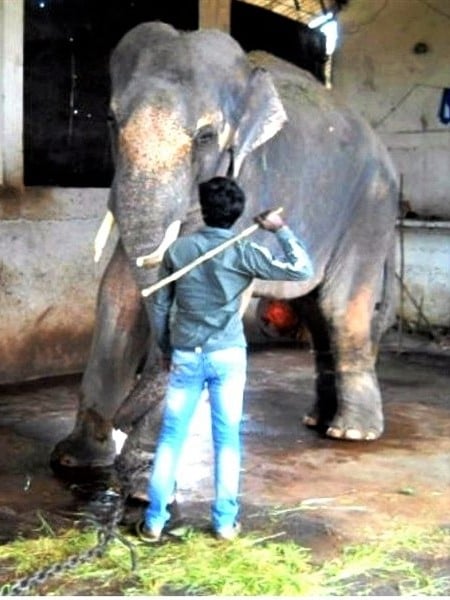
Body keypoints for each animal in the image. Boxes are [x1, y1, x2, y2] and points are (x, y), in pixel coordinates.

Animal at [51, 21, 400, 486]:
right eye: (111, 120)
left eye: (205, 136)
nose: (123, 422)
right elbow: (118, 290)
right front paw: (74, 461)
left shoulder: (248, 184)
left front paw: (143, 482)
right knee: (315, 309)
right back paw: (318, 422)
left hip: (370, 208)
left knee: (340, 307)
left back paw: (351, 433)